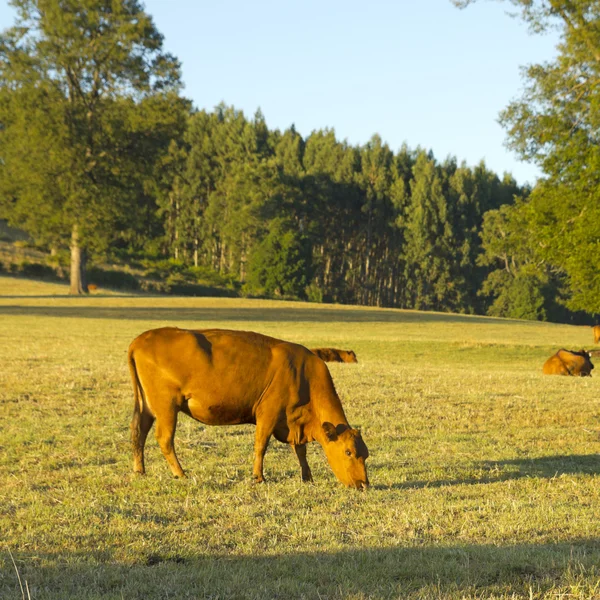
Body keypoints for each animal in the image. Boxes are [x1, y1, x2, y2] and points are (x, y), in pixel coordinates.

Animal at [129, 328, 368, 488]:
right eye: (348, 452)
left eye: (365, 454)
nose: (364, 484)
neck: (304, 375)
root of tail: (140, 339)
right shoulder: (268, 414)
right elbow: (261, 446)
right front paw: (258, 477)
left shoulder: (294, 422)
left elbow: (300, 451)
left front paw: (307, 477)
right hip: (167, 407)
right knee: (164, 439)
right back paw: (180, 473)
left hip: (146, 407)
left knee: (138, 434)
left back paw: (140, 471)